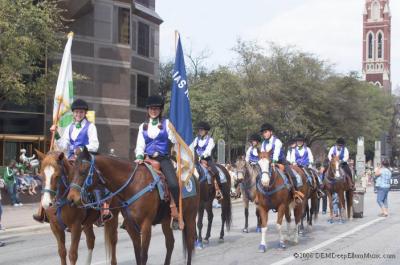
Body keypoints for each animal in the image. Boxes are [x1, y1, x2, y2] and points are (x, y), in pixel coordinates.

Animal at [68, 146, 200, 264]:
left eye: (83, 172)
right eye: (72, 171)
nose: (71, 198)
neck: (133, 185)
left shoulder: (146, 225)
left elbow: (143, 256)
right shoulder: (131, 227)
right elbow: (137, 255)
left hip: (190, 217)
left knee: (189, 243)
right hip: (166, 220)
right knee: (170, 242)